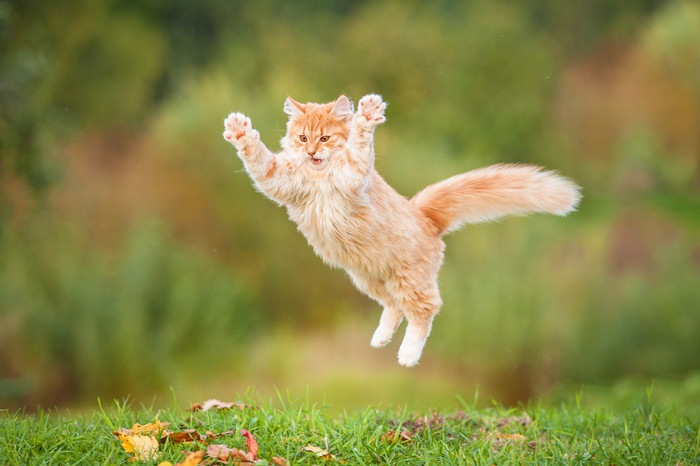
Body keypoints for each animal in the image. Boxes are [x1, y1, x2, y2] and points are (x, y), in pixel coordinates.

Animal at [223, 93, 580, 366]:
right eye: (302, 138)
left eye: (324, 138)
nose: (311, 152)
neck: (319, 176)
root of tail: (423, 214)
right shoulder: (278, 180)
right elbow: (257, 157)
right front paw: (239, 131)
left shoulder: (354, 175)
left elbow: (360, 144)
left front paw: (368, 114)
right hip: (369, 278)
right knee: (394, 307)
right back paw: (380, 339)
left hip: (409, 280)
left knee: (425, 311)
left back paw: (408, 355)